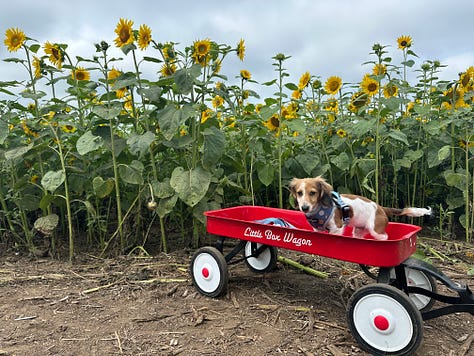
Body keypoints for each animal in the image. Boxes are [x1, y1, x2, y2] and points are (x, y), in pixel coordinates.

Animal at [288, 177, 434, 241]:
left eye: (312, 193)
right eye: (299, 193)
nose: (304, 208)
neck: (318, 210)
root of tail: (381, 208)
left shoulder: (337, 228)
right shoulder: (317, 229)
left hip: (376, 230)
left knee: (385, 237)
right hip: (358, 231)